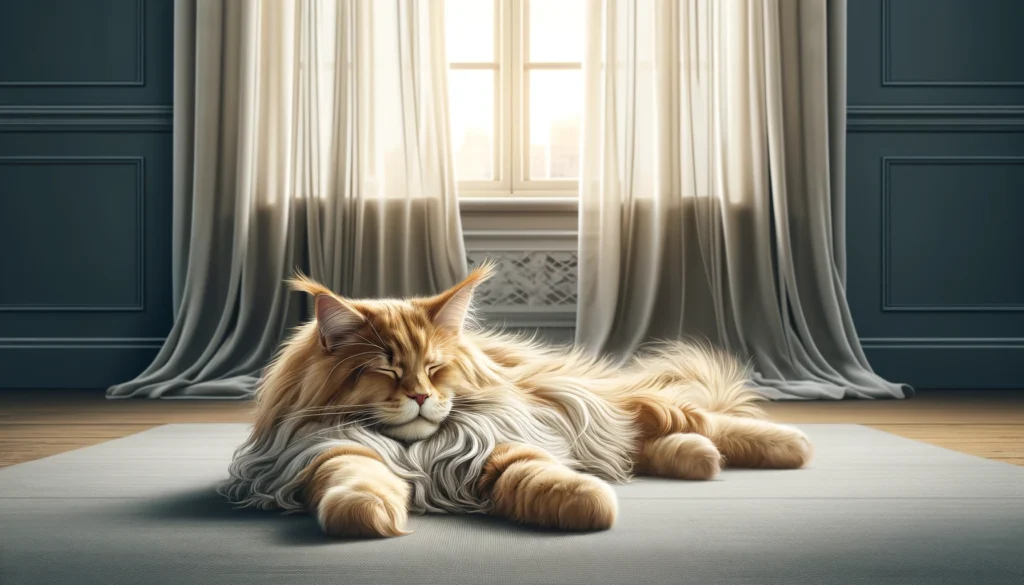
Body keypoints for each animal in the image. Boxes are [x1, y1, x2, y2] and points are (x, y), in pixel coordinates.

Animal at [220, 266, 811, 540]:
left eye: (435, 368)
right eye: (386, 369)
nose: (420, 395)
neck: (417, 454)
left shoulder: (498, 444)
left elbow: (543, 476)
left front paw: (587, 502)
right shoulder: (328, 451)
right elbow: (354, 482)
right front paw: (367, 514)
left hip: (596, 404)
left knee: (694, 419)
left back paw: (791, 445)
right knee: (653, 443)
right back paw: (698, 460)